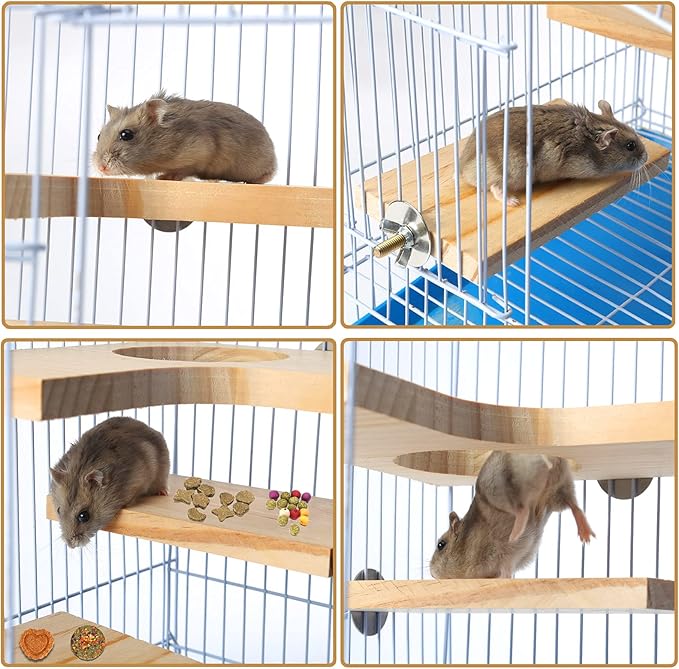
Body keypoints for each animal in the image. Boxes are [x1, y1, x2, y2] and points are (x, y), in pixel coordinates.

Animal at [429, 451, 594, 579]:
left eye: (441, 545)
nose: (431, 573)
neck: (467, 543)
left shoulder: (501, 556)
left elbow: (505, 571)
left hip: (500, 488)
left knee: (522, 509)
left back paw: (515, 533)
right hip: (559, 488)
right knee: (574, 505)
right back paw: (586, 535)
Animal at [460, 100, 649, 206]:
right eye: (630, 145)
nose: (646, 158)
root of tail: (463, 170)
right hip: (511, 170)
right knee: (494, 187)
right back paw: (513, 202)